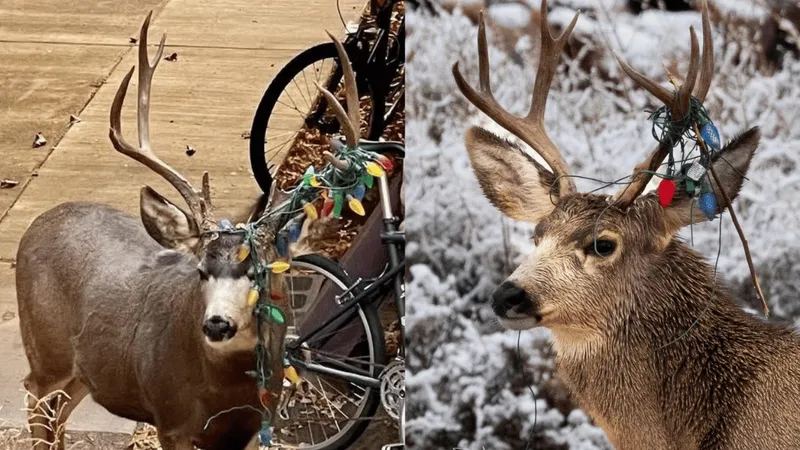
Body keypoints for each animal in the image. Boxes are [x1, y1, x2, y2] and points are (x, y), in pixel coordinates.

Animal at [15, 12, 286, 448]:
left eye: (259, 272)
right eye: (201, 271)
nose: (217, 323)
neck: (225, 396)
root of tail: (38, 222)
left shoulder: (259, 423)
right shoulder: (171, 418)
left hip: (87, 372)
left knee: (58, 415)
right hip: (46, 349)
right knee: (34, 397)